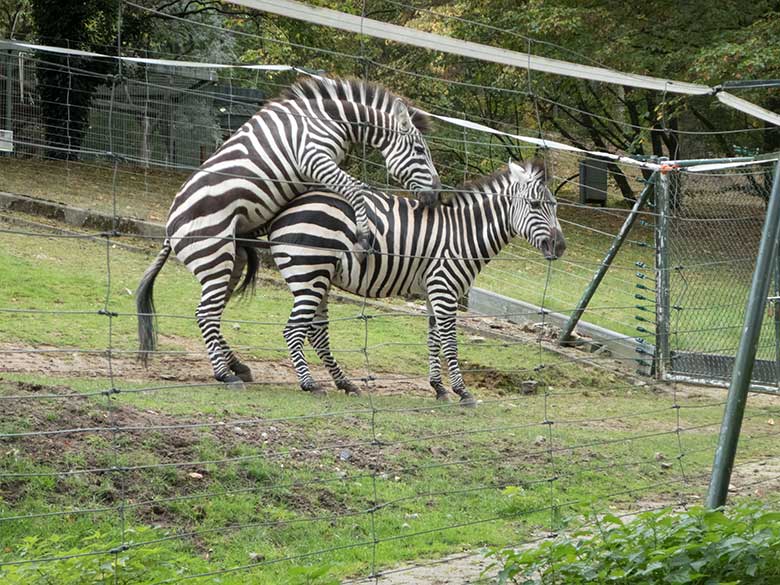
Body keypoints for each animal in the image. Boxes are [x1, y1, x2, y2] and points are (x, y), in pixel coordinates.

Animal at [137, 77, 442, 388]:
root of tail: (169, 229)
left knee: (215, 310)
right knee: (205, 313)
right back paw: (224, 374)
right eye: (420, 151)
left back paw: (237, 366)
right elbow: (356, 189)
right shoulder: (312, 158)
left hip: (231, 261)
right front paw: (365, 236)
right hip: (213, 253)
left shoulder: (312, 174)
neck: (330, 118)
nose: (437, 195)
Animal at [258, 161, 568, 406]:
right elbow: (450, 342)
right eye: (535, 205)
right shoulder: (445, 288)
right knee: (293, 330)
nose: (561, 247)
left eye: (554, 207)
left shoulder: (435, 291)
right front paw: (462, 391)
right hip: (309, 272)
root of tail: (286, 206)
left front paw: (439, 388)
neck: (464, 234)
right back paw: (310, 384)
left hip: (320, 277)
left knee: (316, 334)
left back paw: (345, 383)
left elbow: (433, 339)